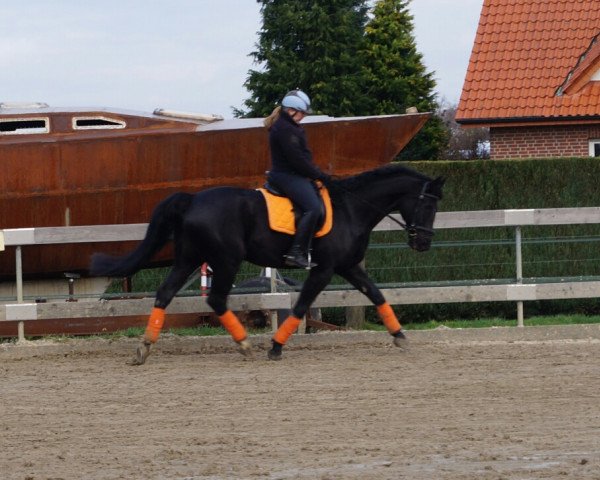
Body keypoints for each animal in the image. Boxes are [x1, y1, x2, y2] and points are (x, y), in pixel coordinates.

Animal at [90, 165, 446, 364]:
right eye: (429, 206)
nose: (423, 243)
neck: (351, 208)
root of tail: (192, 200)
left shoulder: (348, 266)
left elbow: (376, 295)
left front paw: (400, 336)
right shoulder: (324, 269)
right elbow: (301, 306)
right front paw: (275, 347)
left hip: (190, 258)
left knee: (165, 293)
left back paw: (144, 349)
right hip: (226, 259)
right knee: (216, 298)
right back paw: (244, 344)